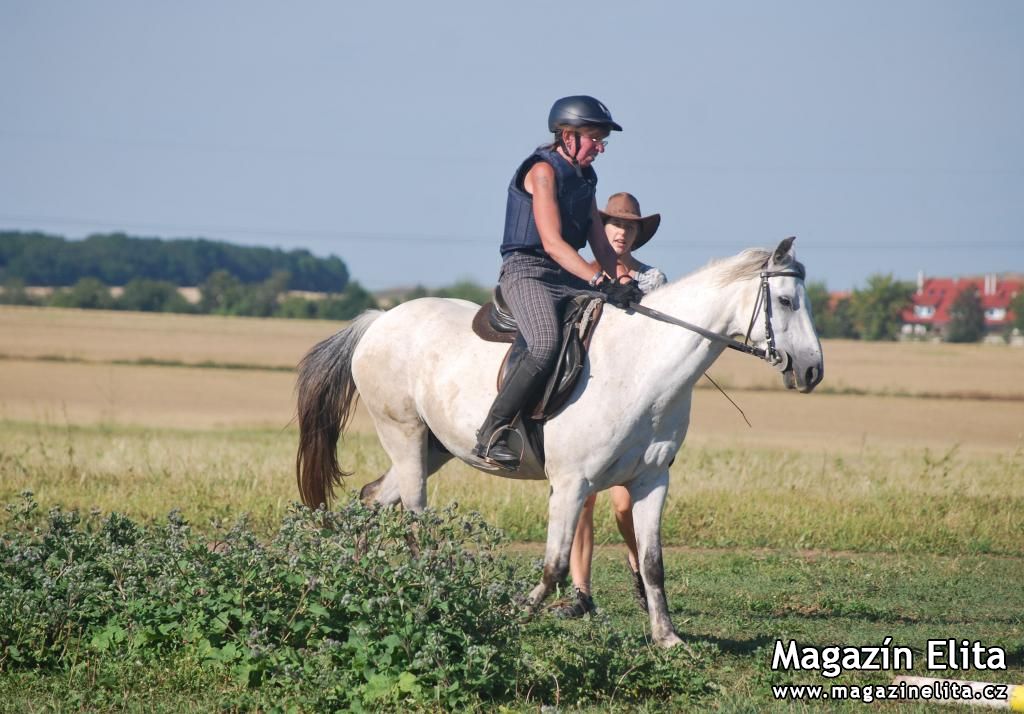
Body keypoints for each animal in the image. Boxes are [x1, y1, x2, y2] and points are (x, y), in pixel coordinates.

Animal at [296, 235, 823, 647]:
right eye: (786, 301)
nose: (813, 370)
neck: (643, 365)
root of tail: (379, 320)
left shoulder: (651, 481)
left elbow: (651, 563)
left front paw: (667, 637)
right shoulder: (571, 483)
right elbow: (554, 564)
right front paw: (518, 613)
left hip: (433, 448)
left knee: (373, 498)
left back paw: (362, 578)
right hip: (403, 434)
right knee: (414, 518)